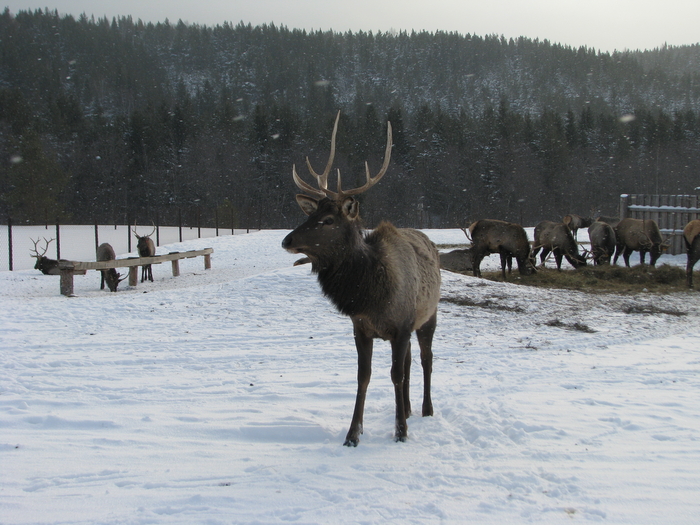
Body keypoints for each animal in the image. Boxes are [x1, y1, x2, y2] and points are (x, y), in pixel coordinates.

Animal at [282, 110, 440, 446]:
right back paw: (407, 409)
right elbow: (363, 376)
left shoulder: (402, 325)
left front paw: (400, 433)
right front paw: (353, 434)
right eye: (309, 214)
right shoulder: (361, 328)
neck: (372, 297)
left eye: (328, 219)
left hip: (430, 315)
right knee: (409, 362)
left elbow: (396, 374)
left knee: (425, 358)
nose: (287, 240)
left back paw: (425, 409)